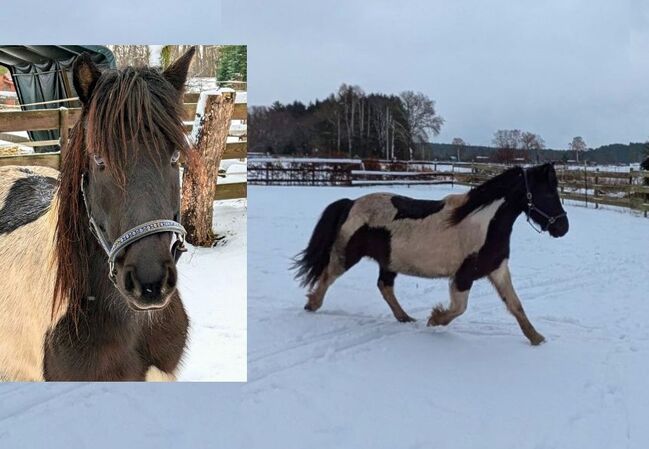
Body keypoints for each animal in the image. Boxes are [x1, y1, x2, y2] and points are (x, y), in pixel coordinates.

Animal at [294, 163, 569, 345]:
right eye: (548, 193)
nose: (562, 227)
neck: (484, 223)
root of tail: (351, 203)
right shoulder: (463, 276)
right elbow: (459, 308)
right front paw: (435, 319)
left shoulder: (497, 269)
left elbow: (515, 305)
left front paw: (537, 338)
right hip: (347, 255)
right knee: (328, 275)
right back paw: (312, 304)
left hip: (389, 261)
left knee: (384, 286)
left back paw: (405, 318)